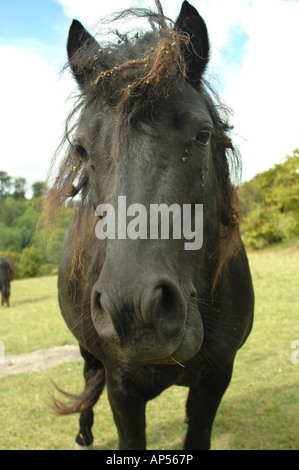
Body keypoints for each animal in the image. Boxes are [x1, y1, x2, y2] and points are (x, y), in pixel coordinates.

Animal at [48, 0, 254, 450]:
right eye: (81, 148)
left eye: (203, 134)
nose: (133, 308)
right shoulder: (123, 392)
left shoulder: (217, 380)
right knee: (87, 377)